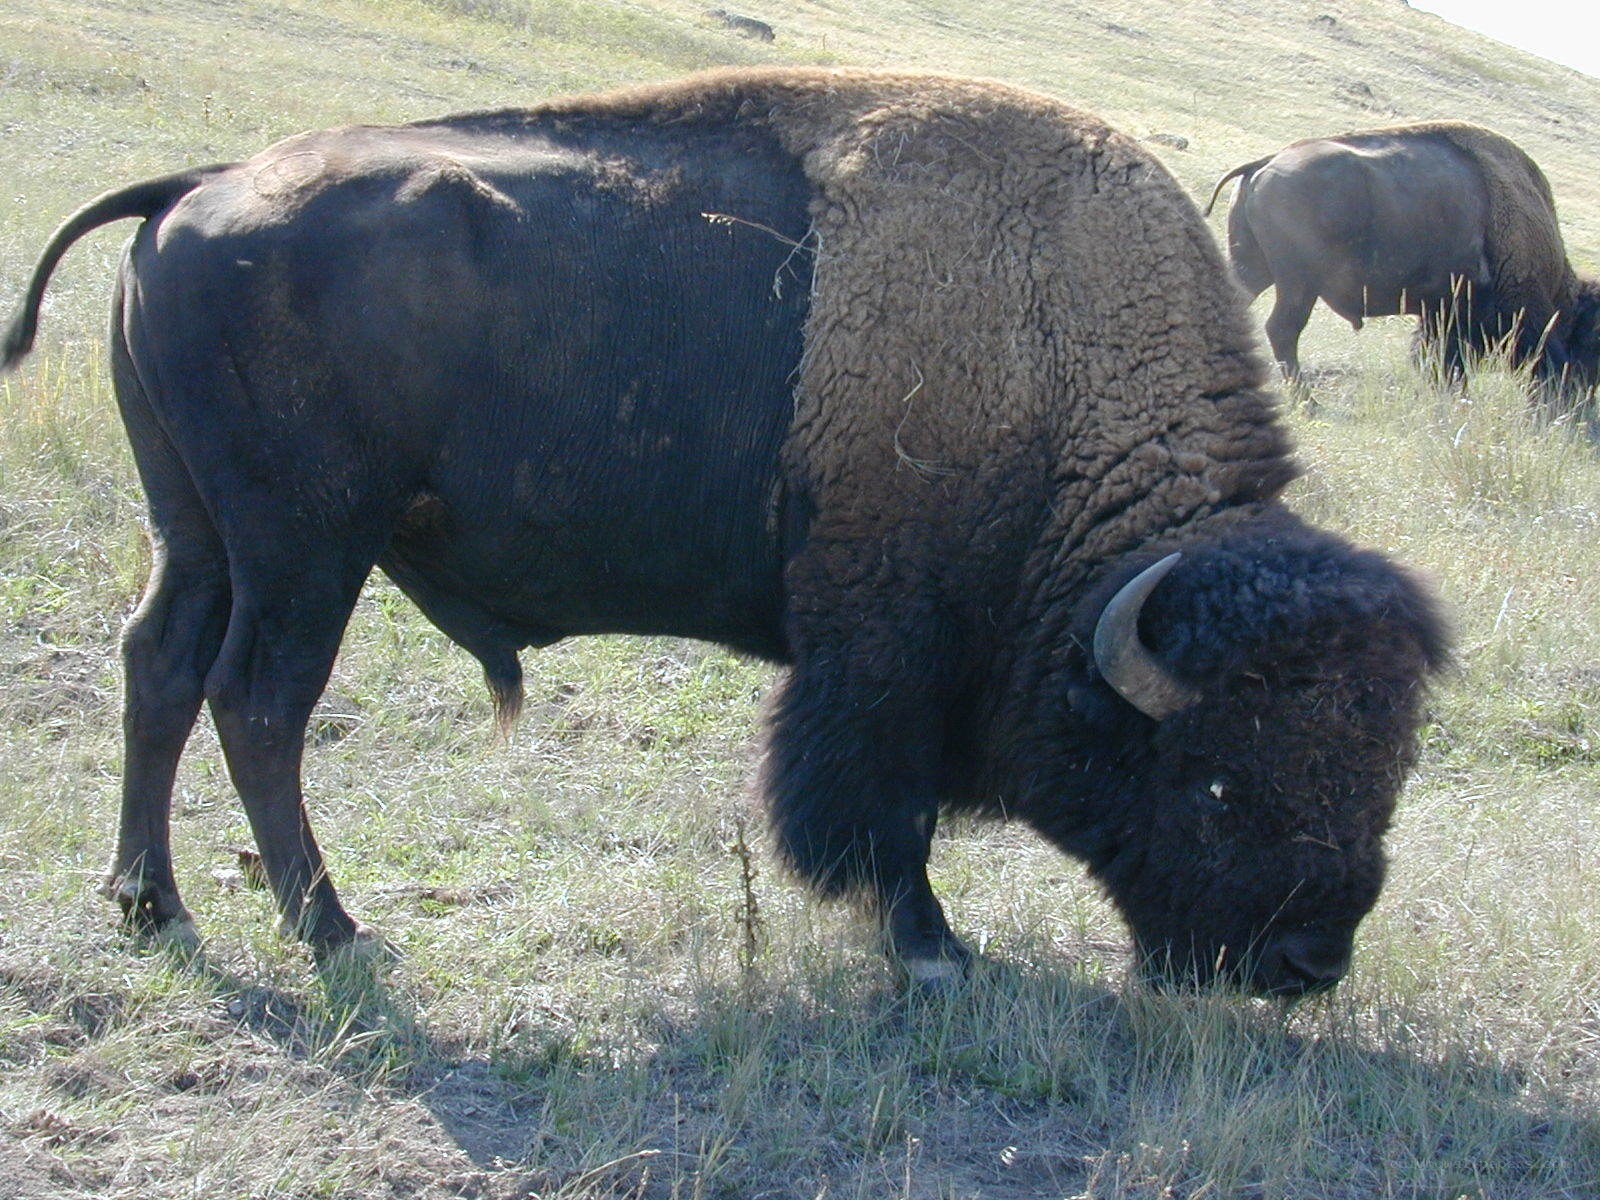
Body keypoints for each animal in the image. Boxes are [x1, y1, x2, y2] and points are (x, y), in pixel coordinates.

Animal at [3, 68, 1445, 994]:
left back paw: (150, 907)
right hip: (306, 545)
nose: (1305, 965)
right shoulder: (879, 658)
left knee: (159, 667)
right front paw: (932, 948)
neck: (1053, 378)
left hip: (195, 528)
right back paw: (334, 930)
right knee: (259, 701)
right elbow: (879, 813)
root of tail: (199, 189)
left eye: (1385, 770)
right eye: (1216, 780)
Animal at [1205, 121, 1600, 388]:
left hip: (1255, 268)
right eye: (1593, 337)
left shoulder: (1439, 314)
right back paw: (1307, 400)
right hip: (1298, 284)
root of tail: (1265, 163)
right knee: (1283, 329)